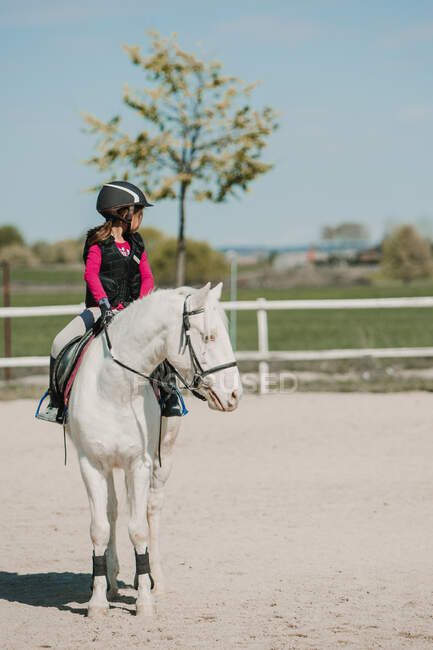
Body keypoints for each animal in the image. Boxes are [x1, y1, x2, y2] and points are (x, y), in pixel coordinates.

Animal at [66, 280, 240, 616]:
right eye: (209, 336)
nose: (235, 395)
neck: (114, 388)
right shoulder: (90, 463)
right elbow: (100, 528)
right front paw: (97, 601)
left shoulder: (140, 463)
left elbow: (139, 529)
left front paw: (145, 601)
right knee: (114, 510)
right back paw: (112, 579)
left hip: (161, 460)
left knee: (150, 510)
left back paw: (152, 579)